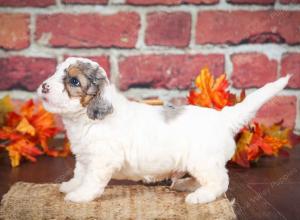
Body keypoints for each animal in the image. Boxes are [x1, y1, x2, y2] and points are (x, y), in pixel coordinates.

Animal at [37, 57, 290, 204]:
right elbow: (80, 174)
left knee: (220, 182)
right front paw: (72, 186)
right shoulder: (84, 158)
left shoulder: (102, 160)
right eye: (55, 72)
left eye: (74, 82)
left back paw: (199, 196)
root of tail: (223, 117)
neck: (87, 119)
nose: (44, 86)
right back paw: (186, 185)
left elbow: (91, 181)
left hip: (203, 161)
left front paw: (80, 196)